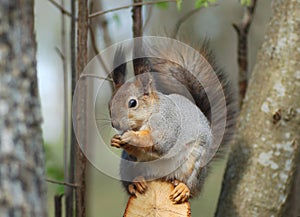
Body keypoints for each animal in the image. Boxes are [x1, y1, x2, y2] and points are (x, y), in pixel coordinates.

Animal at [108, 39, 237, 203]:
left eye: (132, 103)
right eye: (109, 104)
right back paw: (136, 183)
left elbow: (159, 142)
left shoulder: (169, 124)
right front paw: (116, 140)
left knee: (190, 186)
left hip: (194, 162)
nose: (115, 124)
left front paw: (132, 137)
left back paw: (183, 188)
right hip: (127, 167)